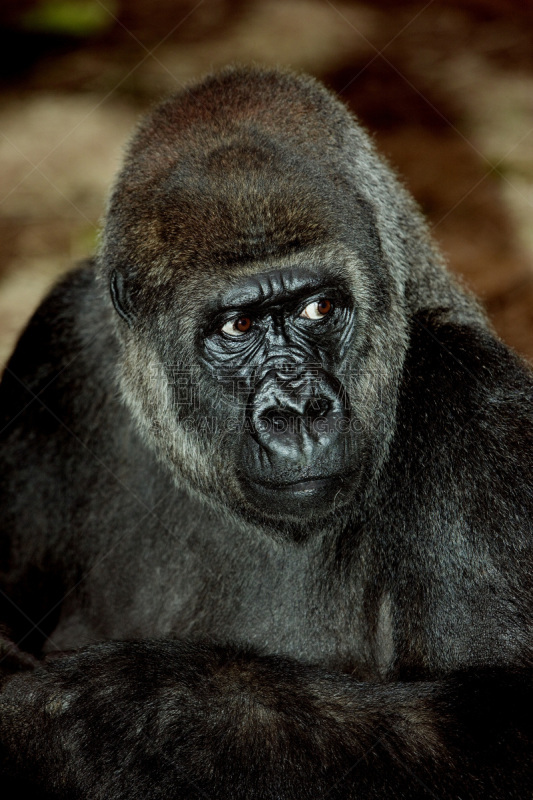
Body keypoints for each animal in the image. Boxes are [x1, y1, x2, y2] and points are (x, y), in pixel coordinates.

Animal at [0, 65, 528, 796]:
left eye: (319, 308)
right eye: (239, 325)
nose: (298, 412)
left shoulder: (475, 403)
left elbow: (499, 728)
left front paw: (128, 708)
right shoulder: (56, 347)